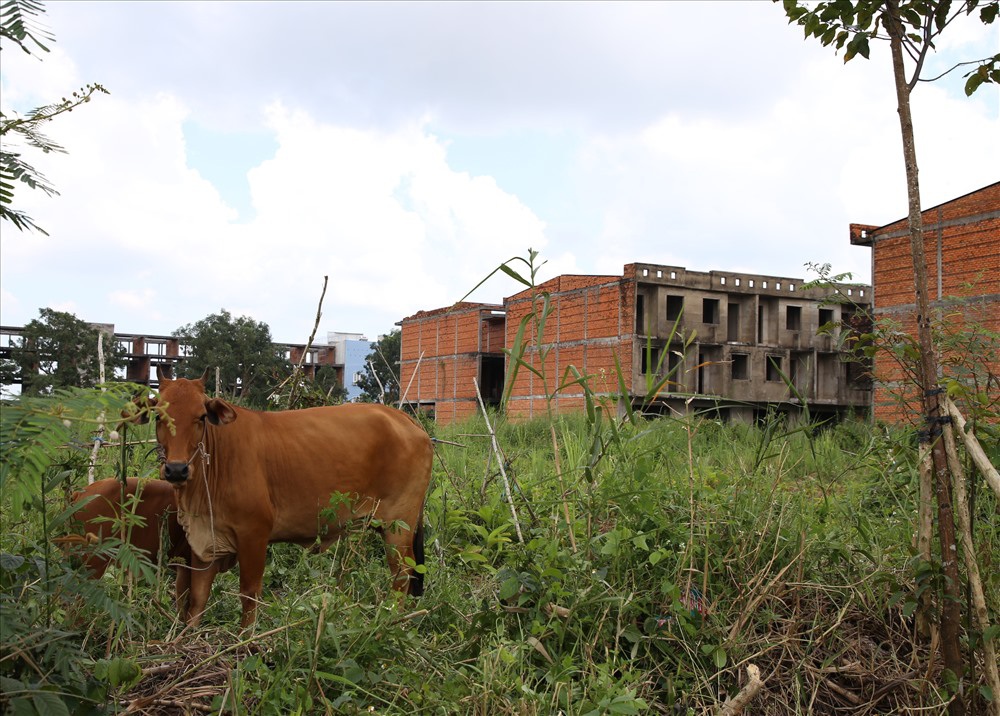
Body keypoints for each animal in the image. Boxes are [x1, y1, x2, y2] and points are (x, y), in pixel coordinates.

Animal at [135, 370, 432, 628]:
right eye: (158, 416)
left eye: (200, 417)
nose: (176, 469)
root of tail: (405, 419)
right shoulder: (205, 538)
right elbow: (197, 597)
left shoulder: (254, 533)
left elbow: (249, 593)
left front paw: (246, 640)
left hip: (398, 526)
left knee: (402, 575)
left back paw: (393, 621)